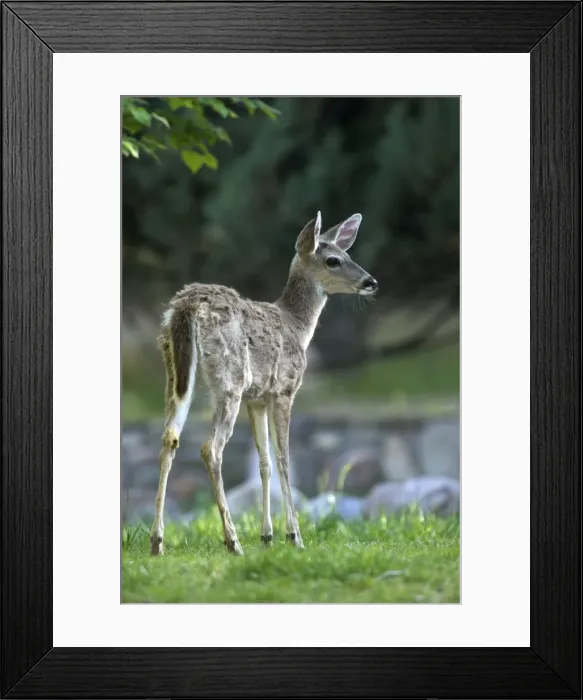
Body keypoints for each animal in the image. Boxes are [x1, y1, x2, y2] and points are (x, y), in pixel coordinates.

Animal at [149, 211, 377, 556]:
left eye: (348, 254)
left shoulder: (256, 397)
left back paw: (157, 542)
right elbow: (284, 457)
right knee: (210, 448)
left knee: (170, 438)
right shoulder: (284, 388)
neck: (298, 327)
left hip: (175, 375)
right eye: (333, 261)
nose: (371, 282)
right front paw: (294, 535)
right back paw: (232, 541)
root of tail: (187, 307)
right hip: (229, 380)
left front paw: (267, 535)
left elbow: (264, 461)